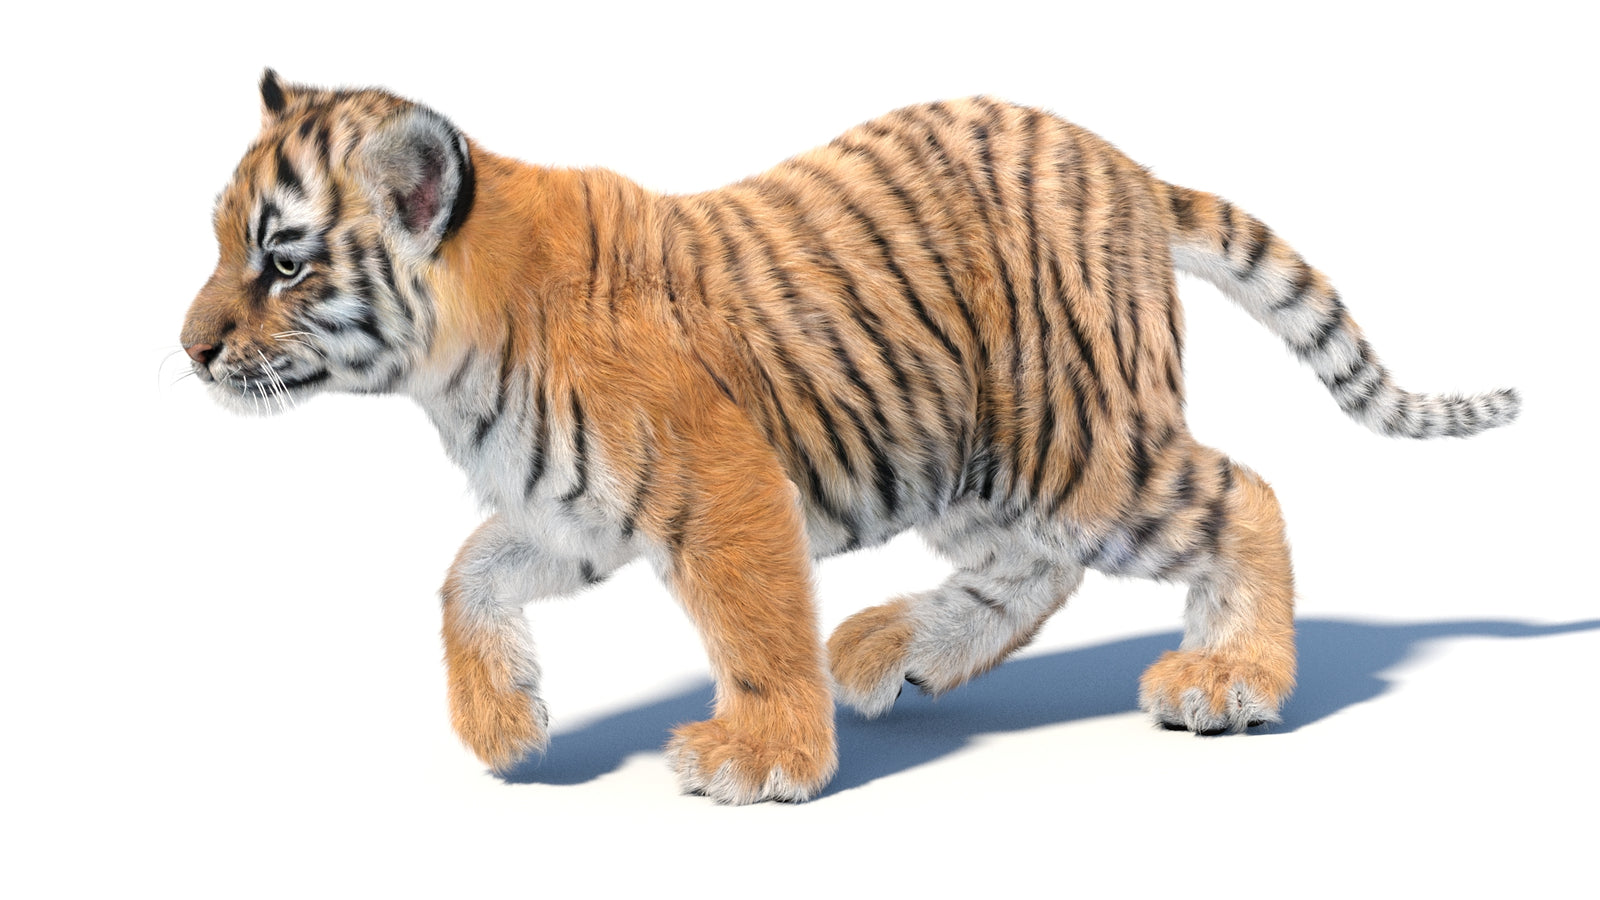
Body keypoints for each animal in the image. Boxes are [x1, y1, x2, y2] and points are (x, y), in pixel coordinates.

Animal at [179, 70, 1519, 804]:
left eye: (282, 261)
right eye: (222, 240)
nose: (188, 347)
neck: (449, 364)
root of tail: (1125, 169)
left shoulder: (719, 485)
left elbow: (755, 625)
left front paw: (761, 758)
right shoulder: (573, 513)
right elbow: (465, 576)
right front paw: (502, 724)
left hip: (1076, 448)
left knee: (1245, 495)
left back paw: (1229, 678)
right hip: (974, 459)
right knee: (1037, 571)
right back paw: (889, 651)